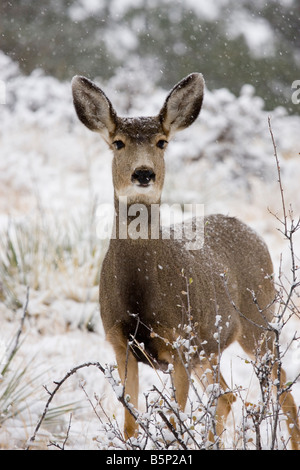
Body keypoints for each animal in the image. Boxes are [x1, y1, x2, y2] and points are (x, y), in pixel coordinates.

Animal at [71, 73, 300, 448]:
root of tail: (248, 229)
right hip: (209, 351)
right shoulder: (120, 343)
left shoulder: (179, 341)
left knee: (283, 393)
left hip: (260, 321)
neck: (141, 290)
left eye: (162, 142)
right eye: (118, 142)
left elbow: (175, 421)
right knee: (226, 397)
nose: (143, 173)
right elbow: (131, 425)